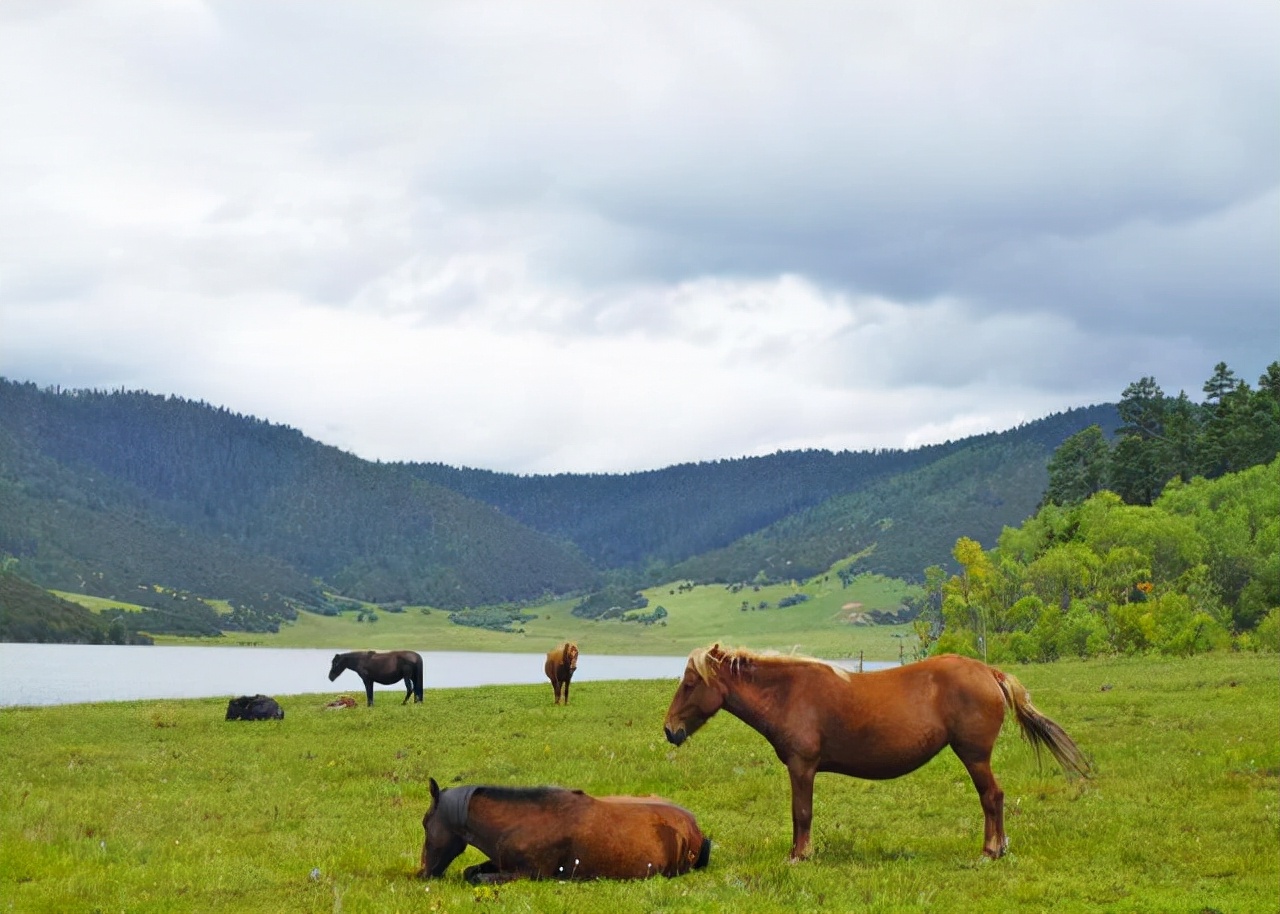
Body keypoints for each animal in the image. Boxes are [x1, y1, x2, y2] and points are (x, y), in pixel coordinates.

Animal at [417, 773, 711, 880]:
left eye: (425, 823)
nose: (422, 872)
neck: (519, 823)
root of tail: (696, 828)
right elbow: (471, 871)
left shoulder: (529, 874)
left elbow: (476, 877)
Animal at [660, 645, 1090, 860]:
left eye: (690, 683)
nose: (670, 730)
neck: (789, 693)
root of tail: (989, 672)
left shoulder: (802, 767)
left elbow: (802, 813)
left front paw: (800, 855)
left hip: (975, 756)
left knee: (992, 797)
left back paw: (992, 850)